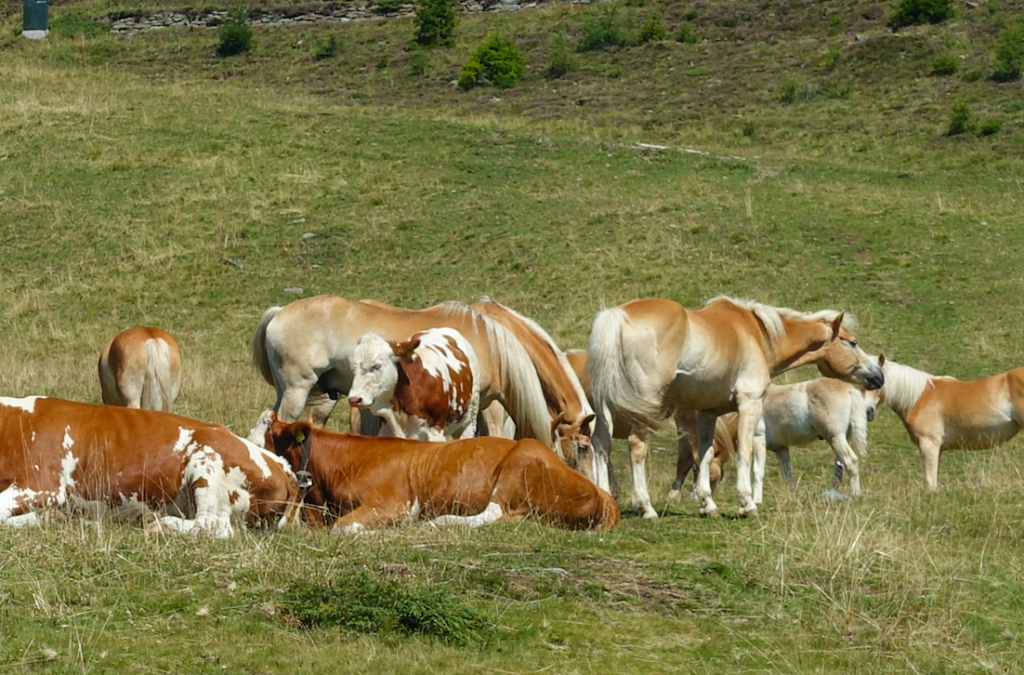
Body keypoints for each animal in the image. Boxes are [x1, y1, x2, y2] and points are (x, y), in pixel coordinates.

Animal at [0, 396, 299, 537]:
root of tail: (285, 468)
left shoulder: (42, 485)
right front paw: (49, 518)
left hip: (208, 464)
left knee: (214, 526)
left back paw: (159, 524)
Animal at [263, 415, 620, 532]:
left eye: (265, 443)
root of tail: (604, 496)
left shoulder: (392, 504)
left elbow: (343, 528)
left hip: (520, 462)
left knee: (493, 515)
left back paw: (437, 522)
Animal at [347, 327, 480, 442]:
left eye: (376, 366)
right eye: (352, 368)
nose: (354, 399)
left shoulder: (436, 432)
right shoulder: (386, 430)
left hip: (469, 419)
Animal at [587, 296, 884, 519]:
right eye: (852, 342)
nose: (878, 376)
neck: (756, 333)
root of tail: (617, 315)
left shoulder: (707, 413)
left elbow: (705, 455)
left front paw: (708, 504)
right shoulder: (750, 403)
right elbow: (746, 453)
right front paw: (747, 503)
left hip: (606, 407)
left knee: (601, 443)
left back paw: (606, 500)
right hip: (644, 408)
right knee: (637, 447)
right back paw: (646, 507)